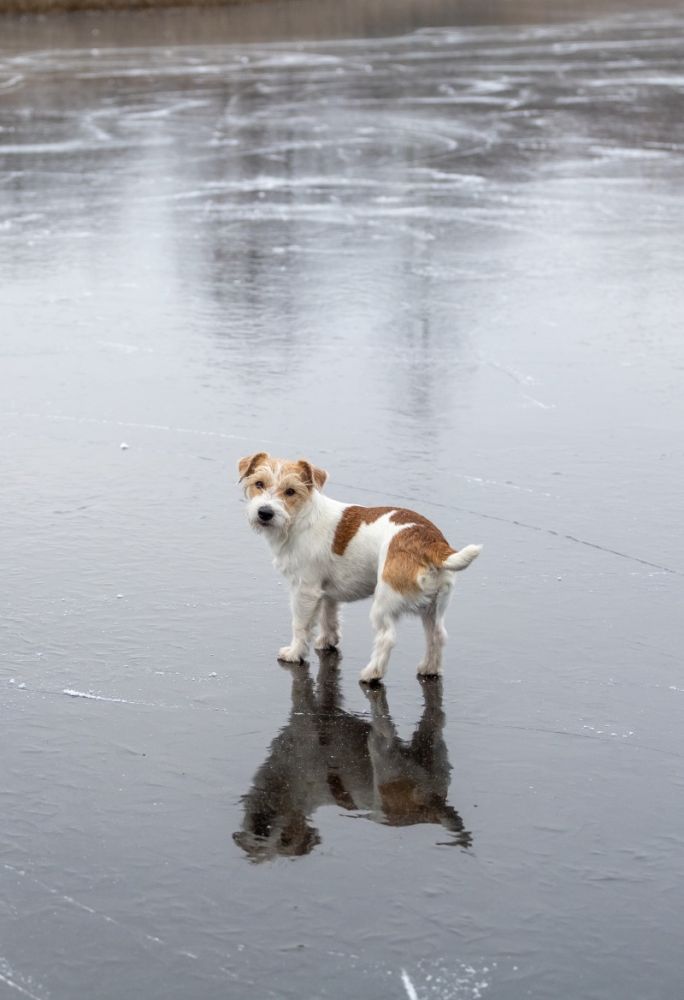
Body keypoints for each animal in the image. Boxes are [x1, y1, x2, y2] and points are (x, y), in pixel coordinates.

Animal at [234, 656, 470, 860]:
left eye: (286, 841)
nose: (261, 831)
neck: (290, 791)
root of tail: (432, 803)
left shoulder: (302, 718)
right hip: (434, 752)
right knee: (436, 718)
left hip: (383, 752)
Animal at [239, 456, 480, 684]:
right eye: (259, 484)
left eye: (290, 491)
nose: (265, 512)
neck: (302, 517)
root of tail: (431, 542)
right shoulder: (326, 592)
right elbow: (329, 617)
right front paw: (327, 641)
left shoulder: (305, 591)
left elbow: (301, 625)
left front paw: (294, 653)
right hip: (434, 607)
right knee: (437, 635)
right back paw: (429, 669)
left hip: (384, 603)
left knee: (387, 638)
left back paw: (372, 673)